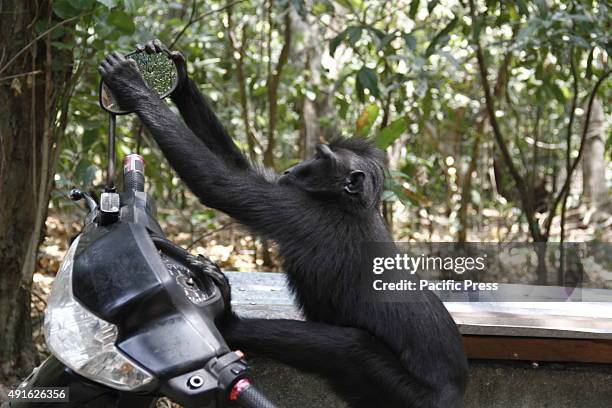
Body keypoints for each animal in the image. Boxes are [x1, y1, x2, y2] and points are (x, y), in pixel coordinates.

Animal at [98, 39, 466, 408]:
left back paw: (229, 322)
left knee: (351, 347)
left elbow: (219, 182)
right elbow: (236, 165)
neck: (346, 203)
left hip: (407, 393)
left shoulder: (301, 211)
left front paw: (132, 85)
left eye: (320, 158)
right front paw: (179, 76)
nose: (292, 168)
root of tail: (454, 392)